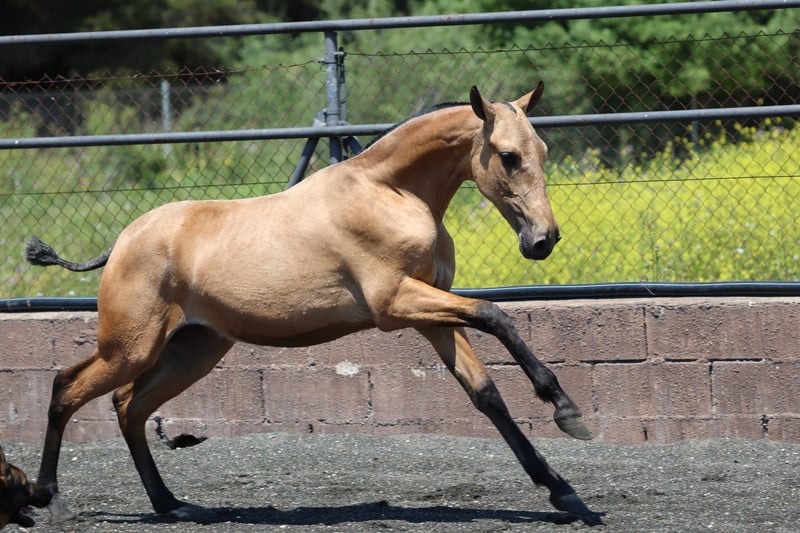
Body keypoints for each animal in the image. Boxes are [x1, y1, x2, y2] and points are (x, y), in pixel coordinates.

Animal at [24, 82, 596, 523]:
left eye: (543, 151)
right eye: (508, 156)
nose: (543, 240)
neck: (391, 192)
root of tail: (122, 241)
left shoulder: (429, 314)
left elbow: (486, 394)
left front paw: (565, 493)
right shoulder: (396, 304)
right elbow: (497, 316)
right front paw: (566, 410)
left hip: (193, 350)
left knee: (129, 406)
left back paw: (174, 505)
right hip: (130, 347)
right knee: (67, 389)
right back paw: (49, 501)